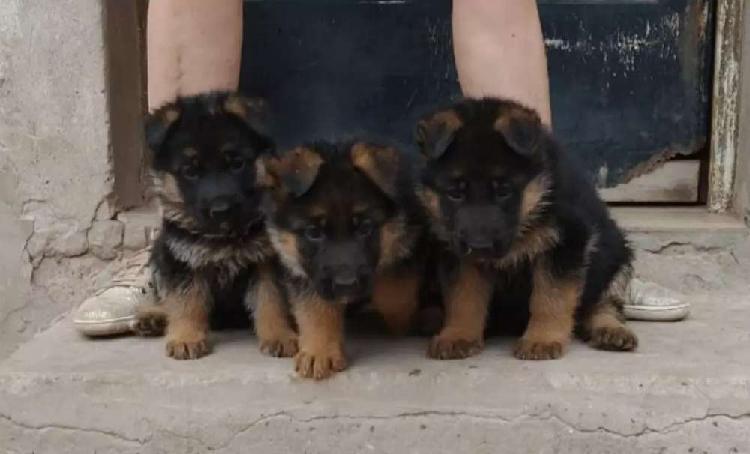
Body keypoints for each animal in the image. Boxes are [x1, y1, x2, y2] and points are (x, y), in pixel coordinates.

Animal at [135, 93, 300, 362]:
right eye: (190, 171)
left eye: (237, 164)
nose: (221, 209)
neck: (223, 235)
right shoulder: (182, 260)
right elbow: (185, 301)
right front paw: (186, 338)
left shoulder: (266, 262)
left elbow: (271, 299)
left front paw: (279, 335)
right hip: (159, 253)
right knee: (165, 297)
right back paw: (153, 315)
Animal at [262, 143, 426, 380]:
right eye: (314, 232)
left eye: (365, 227)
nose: (346, 285)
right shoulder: (305, 271)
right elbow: (315, 309)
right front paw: (318, 352)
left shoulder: (409, 238)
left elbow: (395, 294)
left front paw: (400, 321)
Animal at [418, 97, 640, 360]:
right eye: (455, 193)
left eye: (503, 191)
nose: (479, 246)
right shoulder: (457, 254)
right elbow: (463, 296)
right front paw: (458, 335)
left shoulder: (566, 242)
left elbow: (550, 297)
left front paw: (542, 339)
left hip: (617, 254)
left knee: (602, 303)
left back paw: (610, 330)